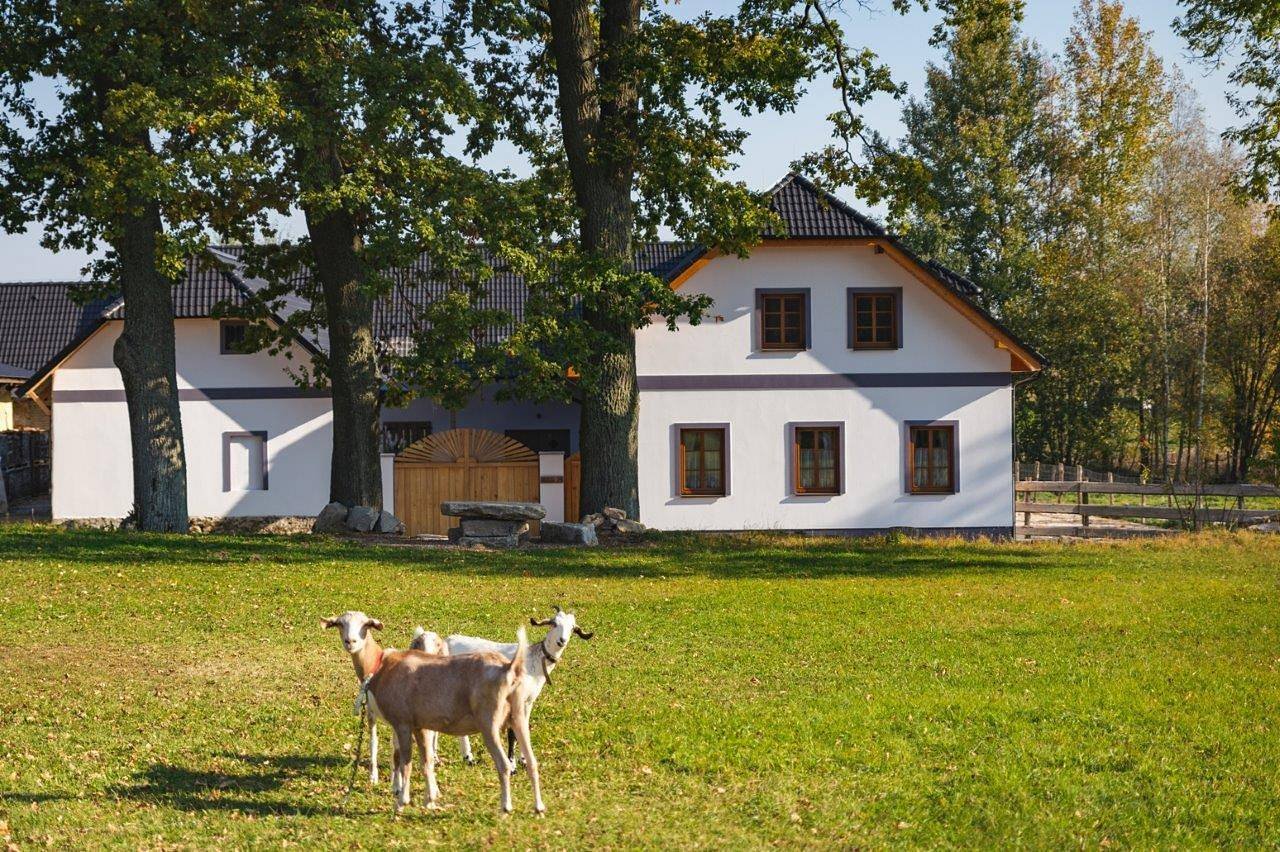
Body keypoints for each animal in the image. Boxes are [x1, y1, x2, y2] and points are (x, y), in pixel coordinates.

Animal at [440, 603, 593, 762]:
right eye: (554, 623)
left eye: (572, 628)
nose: (562, 640)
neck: (532, 661)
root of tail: (448, 640)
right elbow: (513, 732)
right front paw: (512, 762)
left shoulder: (528, 701)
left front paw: (524, 760)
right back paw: (465, 757)